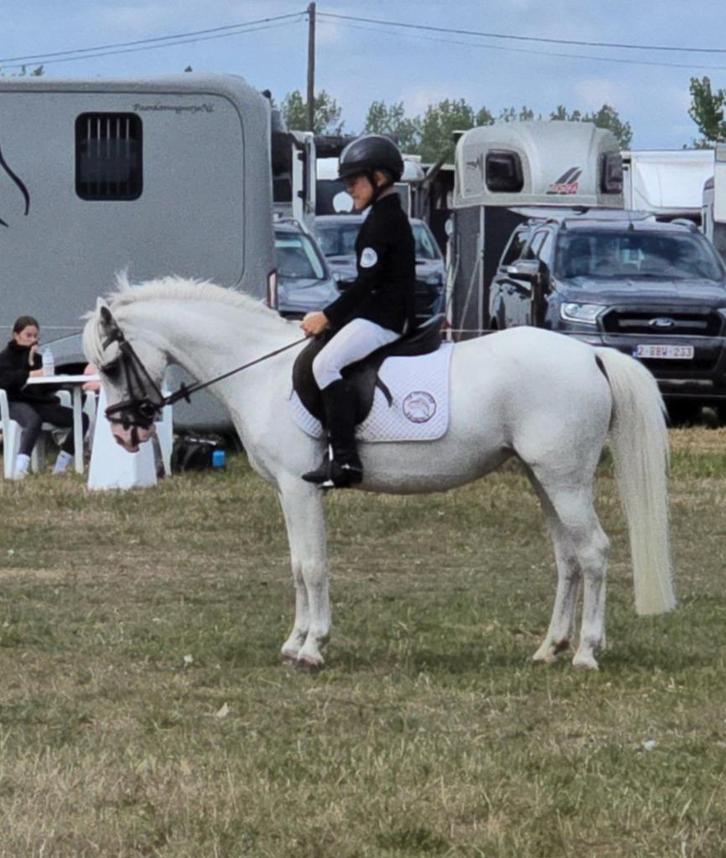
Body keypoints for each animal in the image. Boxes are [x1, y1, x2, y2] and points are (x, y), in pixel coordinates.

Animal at [82, 274, 675, 671]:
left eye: (110, 366)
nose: (125, 435)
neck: (261, 373)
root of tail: (590, 356)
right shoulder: (289, 494)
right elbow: (297, 565)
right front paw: (294, 642)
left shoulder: (301, 489)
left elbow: (313, 566)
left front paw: (312, 647)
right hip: (542, 477)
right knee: (567, 558)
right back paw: (549, 648)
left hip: (564, 478)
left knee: (593, 552)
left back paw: (586, 653)